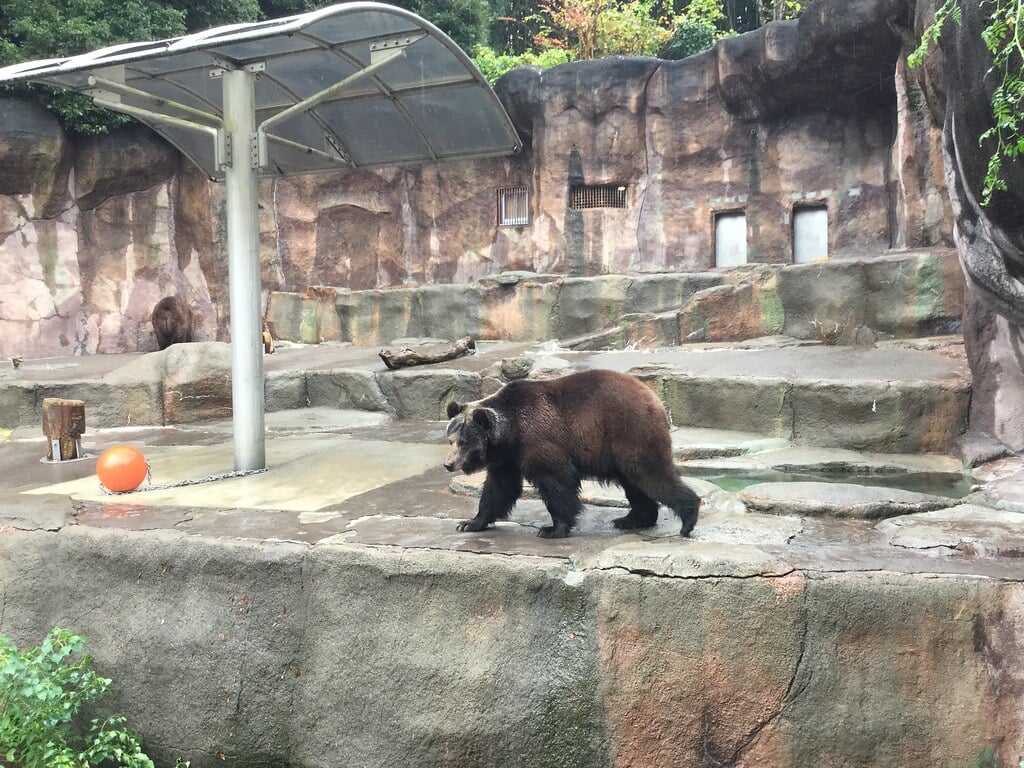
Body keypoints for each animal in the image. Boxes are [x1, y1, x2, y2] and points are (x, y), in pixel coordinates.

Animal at [444, 368, 700, 536]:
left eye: (464, 442)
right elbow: (499, 489)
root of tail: (653, 397)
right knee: (635, 484)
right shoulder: (507, 459)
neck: (512, 433)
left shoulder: (540, 438)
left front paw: (552, 528)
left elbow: (556, 482)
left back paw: (687, 519)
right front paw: (470, 523)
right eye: (451, 440)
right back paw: (632, 519)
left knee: (651, 475)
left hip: (630, 431)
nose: (448, 464)